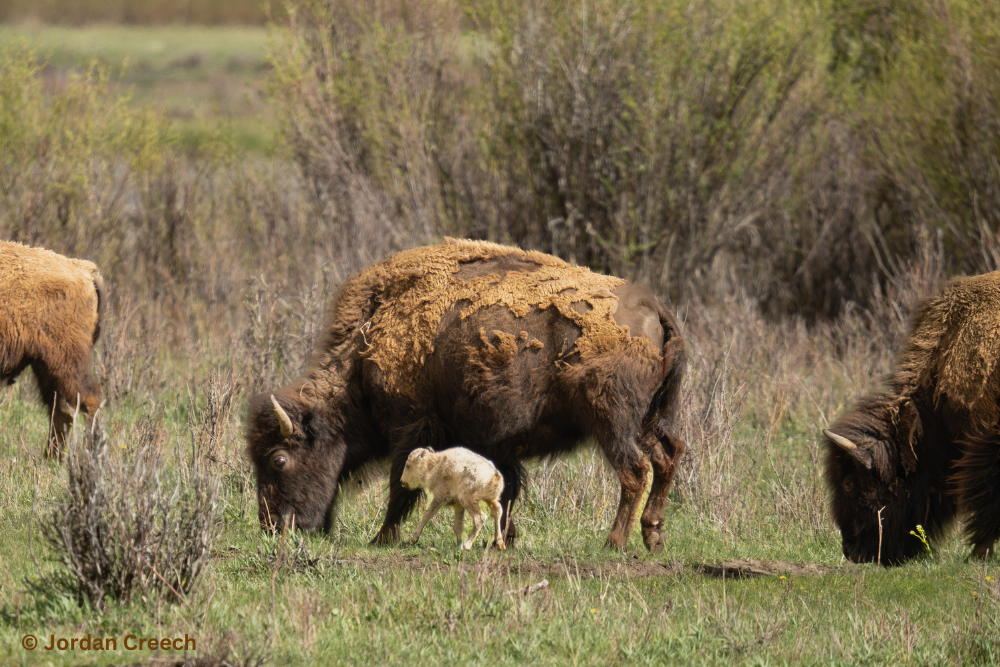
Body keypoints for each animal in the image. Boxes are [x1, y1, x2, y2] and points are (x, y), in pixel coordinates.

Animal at [0, 243, 105, 456]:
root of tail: (84, 269)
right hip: (46, 365)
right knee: (61, 408)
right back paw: (52, 457)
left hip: (63, 360)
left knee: (88, 399)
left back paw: (90, 455)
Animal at [249, 237, 688, 552]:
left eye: (279, 459)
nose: (271, 525)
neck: (366, 342)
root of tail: (653, 307)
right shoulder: (496, 442)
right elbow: (505, 490)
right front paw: (504, 540)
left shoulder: (412, 426)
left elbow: (401, 484)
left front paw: (382, 538)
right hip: (650, 419)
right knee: (668, 457)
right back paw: (653, 535)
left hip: (612, 422)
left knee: (635, 471)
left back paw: (614, 542)